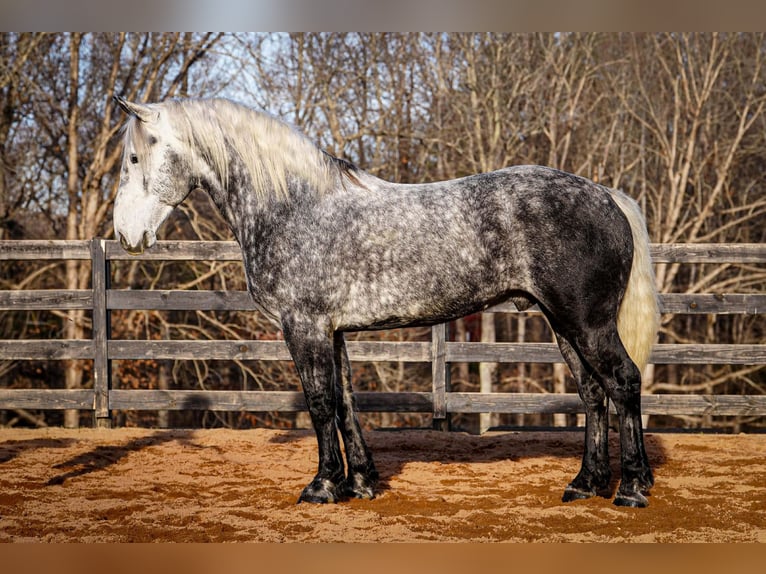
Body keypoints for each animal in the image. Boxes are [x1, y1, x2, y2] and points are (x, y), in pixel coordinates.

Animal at [112, 96, 660, 508]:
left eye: (135, 159)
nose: (126, 234)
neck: (293, 206)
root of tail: (606, 195)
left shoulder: (303, 326)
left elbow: (319, 402)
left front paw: (321, 486)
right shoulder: (331, 331)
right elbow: (345, 402)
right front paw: (360, 482)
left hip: (587, 322)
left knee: (624, 382)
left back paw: (631, 488)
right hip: (562, 324)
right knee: (593, 393)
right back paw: (585, 484)